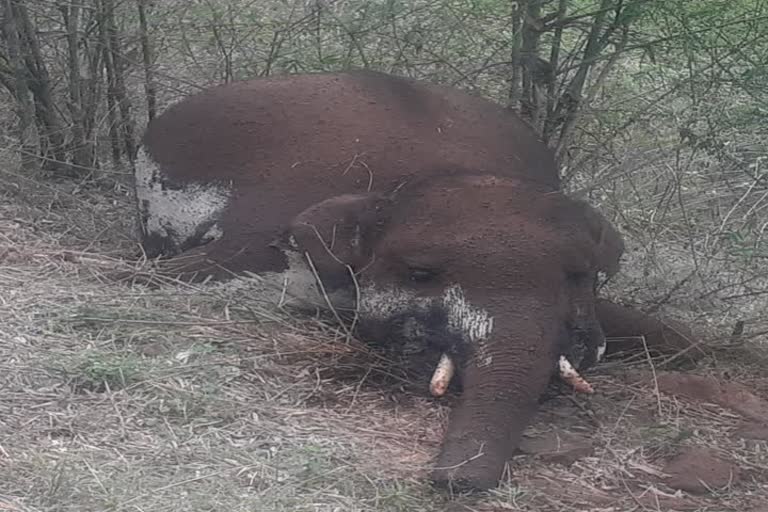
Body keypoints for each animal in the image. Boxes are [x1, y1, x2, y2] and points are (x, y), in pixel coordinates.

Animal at [130, 71, 696, 492]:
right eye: (421, 274)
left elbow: (678, 336)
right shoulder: (256, 232)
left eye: (579, 275)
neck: (437, 173)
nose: (455, 480)